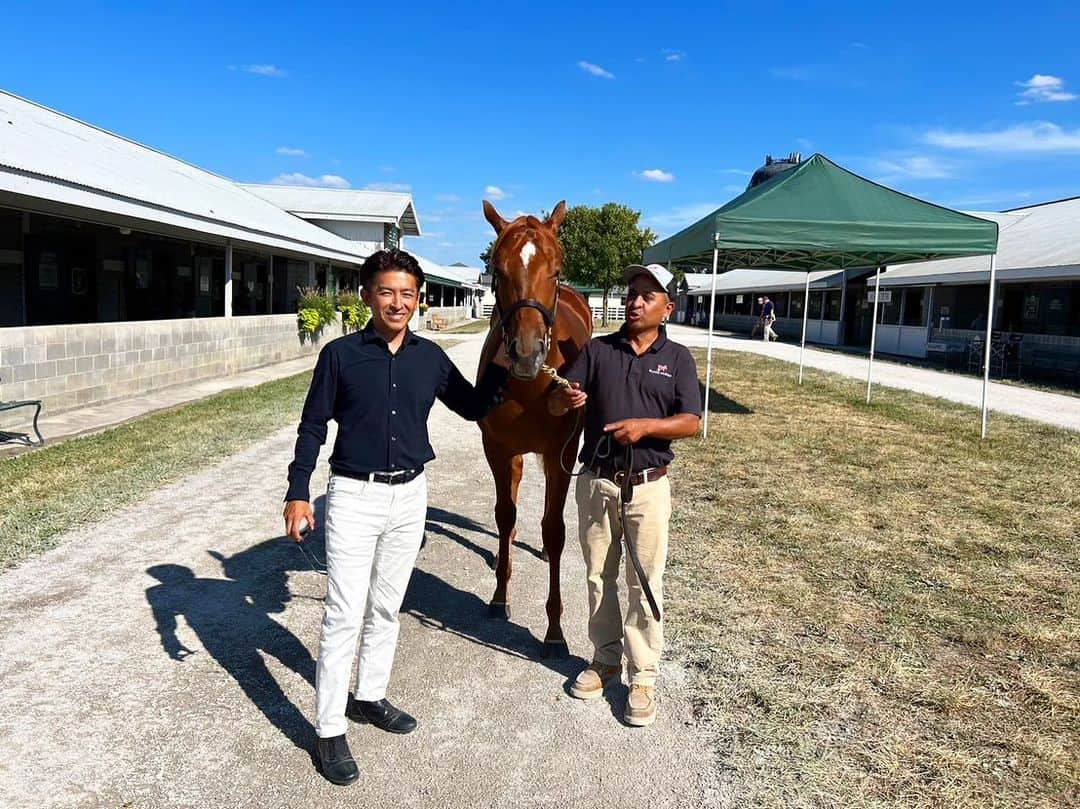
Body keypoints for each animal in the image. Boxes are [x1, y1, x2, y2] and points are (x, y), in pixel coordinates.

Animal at [479, 200, 596, 656]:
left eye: (557, 271)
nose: (527, 354)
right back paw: (503, 554)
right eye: (496, 271)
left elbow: (555, 529)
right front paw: (499, 596)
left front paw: (555, 630)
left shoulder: (561, 453)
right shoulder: (497, 447)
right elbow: (505, 514)